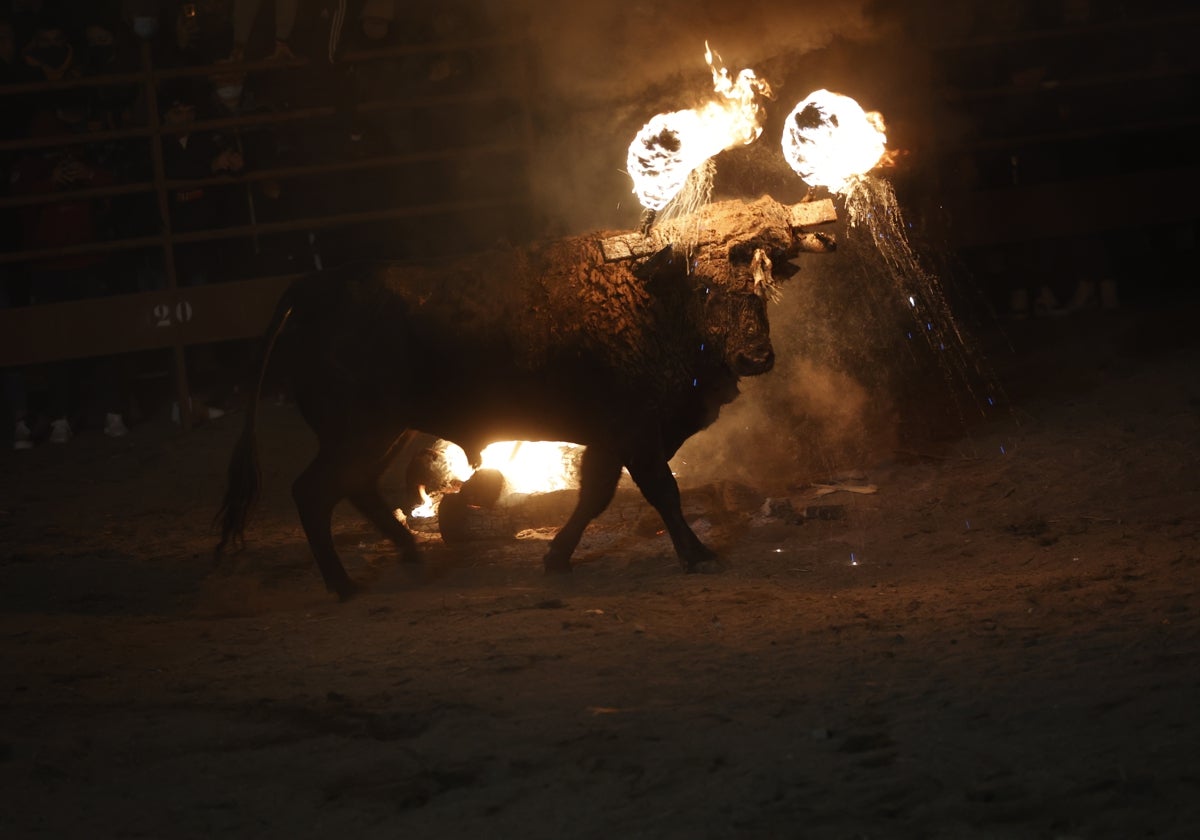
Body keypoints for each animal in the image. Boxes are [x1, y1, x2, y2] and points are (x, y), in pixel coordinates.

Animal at [219, 196, 806, 597]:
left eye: (766, 286)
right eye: (704, 287)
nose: (756, 357)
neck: (647, 296)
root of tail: (310, 288)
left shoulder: (611, 440)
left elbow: (594, 497)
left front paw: (557, 558)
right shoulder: (636, 434)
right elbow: (662, 493)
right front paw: (699, 555)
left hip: (385, 431)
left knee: (355, 487)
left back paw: (408, 555)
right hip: (359, 431)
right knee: (313, 492)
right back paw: (344, 586)